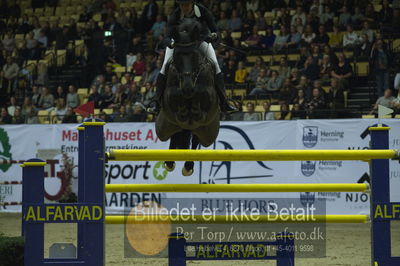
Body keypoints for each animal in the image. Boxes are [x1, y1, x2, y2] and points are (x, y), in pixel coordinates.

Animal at [155, 18, 219, 177]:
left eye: (194, 55)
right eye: (177, 56)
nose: (188, 88)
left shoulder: (209, 97)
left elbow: (201, 99)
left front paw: (194, 105)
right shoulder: (170, 95)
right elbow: (176, 96)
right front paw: (185, 109)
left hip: (206, 132)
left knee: (195, 139)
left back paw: (188, 166)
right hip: (164, 127)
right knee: (175, 135)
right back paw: (169, 163)